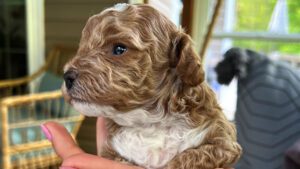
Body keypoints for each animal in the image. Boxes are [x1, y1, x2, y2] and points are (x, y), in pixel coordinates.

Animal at [62, 3, 243, 168]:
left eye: (119, 48)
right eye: (83, 47)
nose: (66, 77)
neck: (149, 122)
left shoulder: (224, 141)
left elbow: (189, 157)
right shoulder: (112, 150)